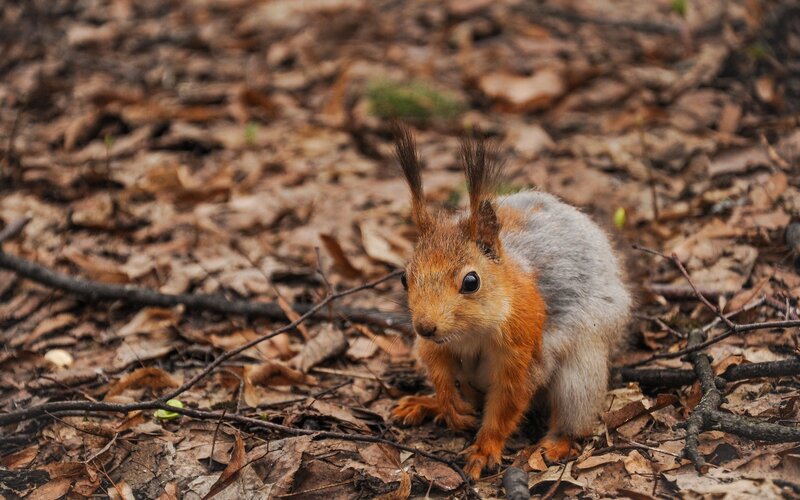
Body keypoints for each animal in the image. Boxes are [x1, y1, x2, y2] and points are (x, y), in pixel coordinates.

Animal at [390, 125, 631, 480]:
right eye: (404, 278)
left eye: (471, 282)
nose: (425, 327)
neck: (470, 332)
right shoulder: (435, 346)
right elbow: (437, 368)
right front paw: (446, 404)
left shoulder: (523, 350)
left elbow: (507, 403)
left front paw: (485, 449)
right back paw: (426, 404)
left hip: (581, 371)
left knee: (575, 415)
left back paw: (554, 445)